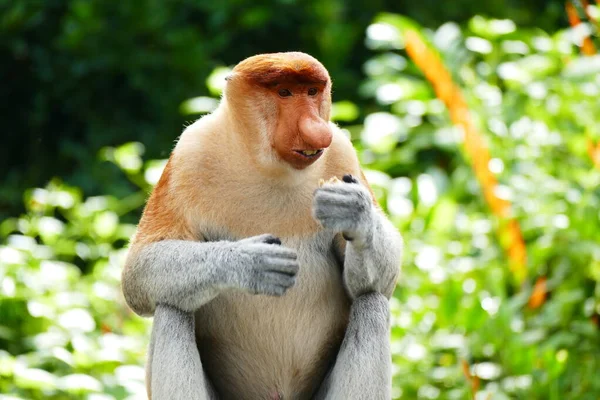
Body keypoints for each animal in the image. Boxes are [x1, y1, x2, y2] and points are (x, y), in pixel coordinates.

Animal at [122, 51, 404, 398]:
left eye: (312, 91)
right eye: (284, 92)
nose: (317, 128)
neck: (268, 166)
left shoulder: (341, 152)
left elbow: (379, 283)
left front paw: (355, 210)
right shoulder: (189, 155)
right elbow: (138, 271)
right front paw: (250, 263)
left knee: (371, 303)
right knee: (172, 310)